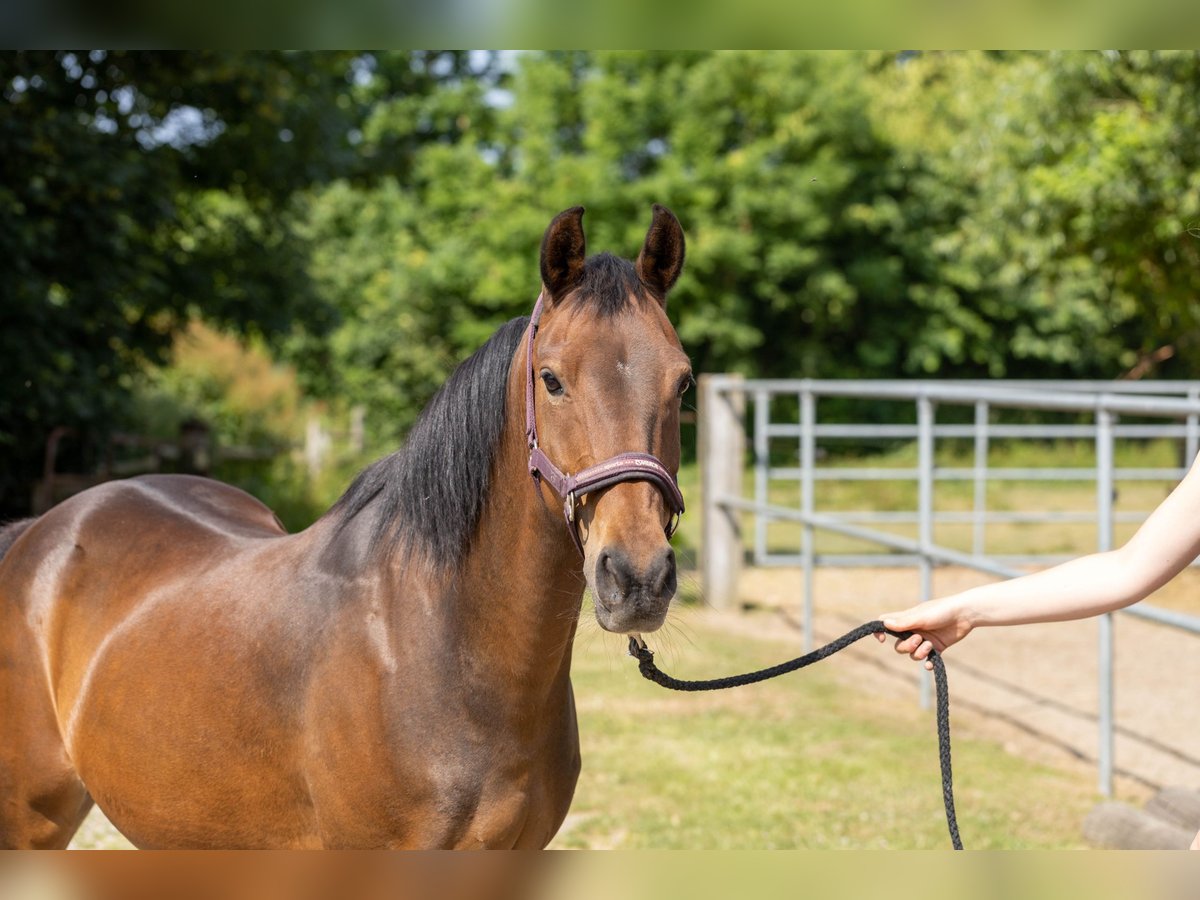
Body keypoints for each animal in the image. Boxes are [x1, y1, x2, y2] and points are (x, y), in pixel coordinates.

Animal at [0, 206, 691, 854]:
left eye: (682, 382)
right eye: (551, 380)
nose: (637, 576)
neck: (441, 645)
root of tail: (42, 530)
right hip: (31, 821)